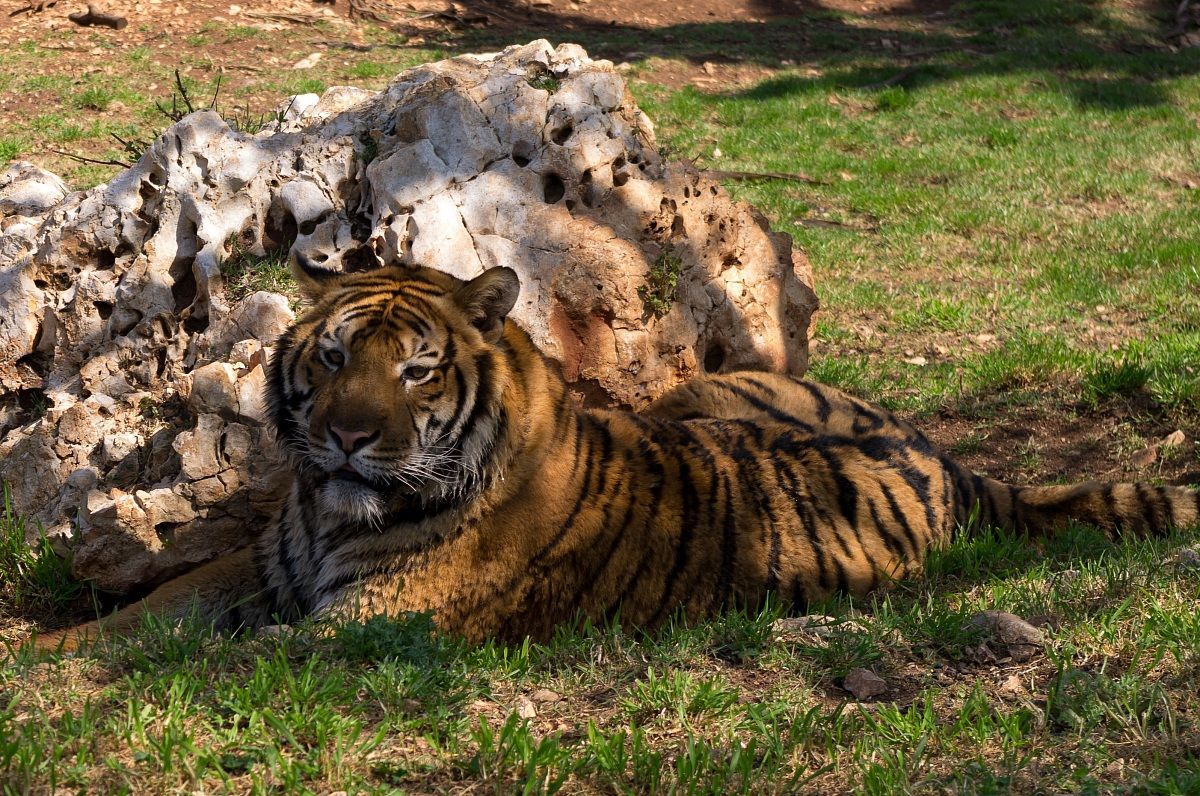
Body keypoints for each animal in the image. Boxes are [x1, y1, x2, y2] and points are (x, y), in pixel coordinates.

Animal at [34, 259, 1200, 651]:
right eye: (329, 358)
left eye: (415, 372)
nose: (347, 436)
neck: (328, 515)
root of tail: (954, 460)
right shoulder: (253, 567)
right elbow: (154, 611)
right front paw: (51, 647)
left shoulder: (369, 622)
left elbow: (200, 654)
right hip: (700, 388)